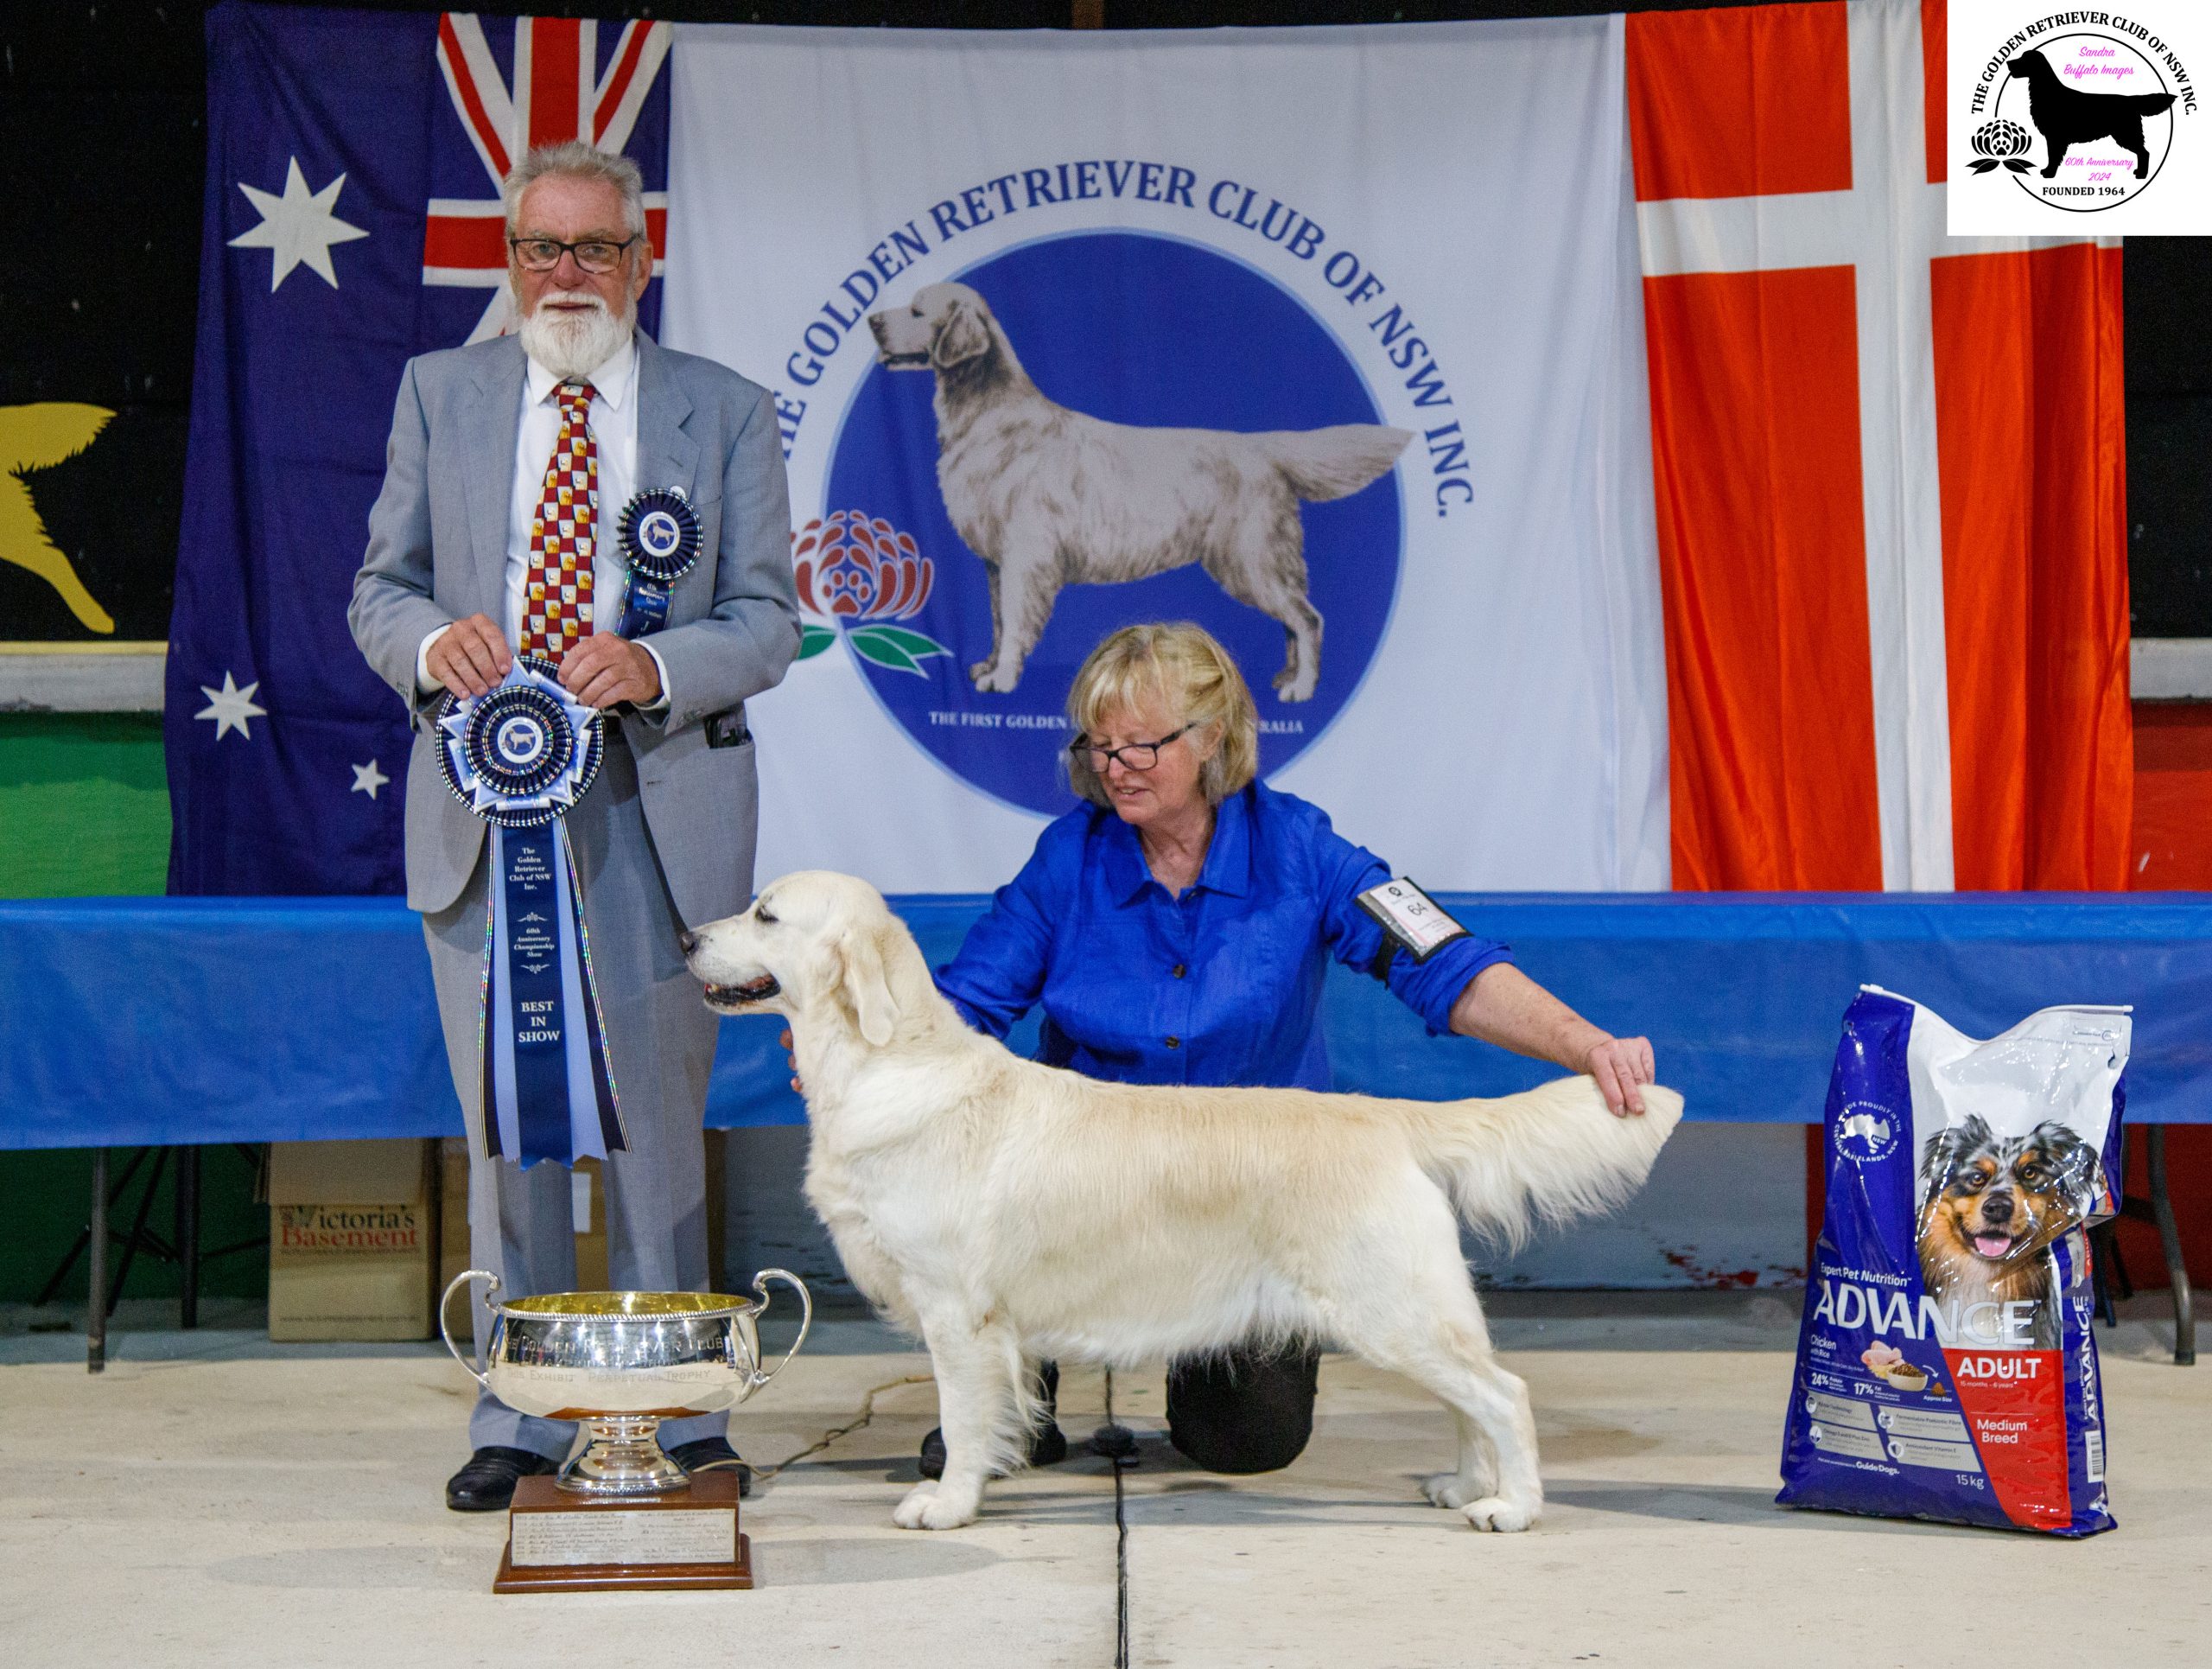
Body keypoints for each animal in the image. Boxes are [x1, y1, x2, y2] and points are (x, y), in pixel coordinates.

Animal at [681, 872, 1681, 1532]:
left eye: (766, 912)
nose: (686, 938)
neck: (885, 1060)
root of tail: (1384, 1114)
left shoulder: (958, 1313)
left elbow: (965, 1421)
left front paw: (949, 1502)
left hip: (1392, 1307)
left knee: (1504, 1393)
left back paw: (1512, 1506)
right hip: (1409, 1310)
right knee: (1471, 1397)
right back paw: (1466, 1486)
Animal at [862, 283, 1397, 699]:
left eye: (918, 311)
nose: (871, 320)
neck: (985, 413)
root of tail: (1262, 449)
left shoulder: (1025, 557)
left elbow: (1013, 624)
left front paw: (1004, 678)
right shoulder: (996, 563)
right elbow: (997, 621)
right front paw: (990, 666)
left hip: (1249, 558)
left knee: (1308, 619)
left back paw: (1302, 687)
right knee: (1293, 620)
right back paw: (1288, 675)